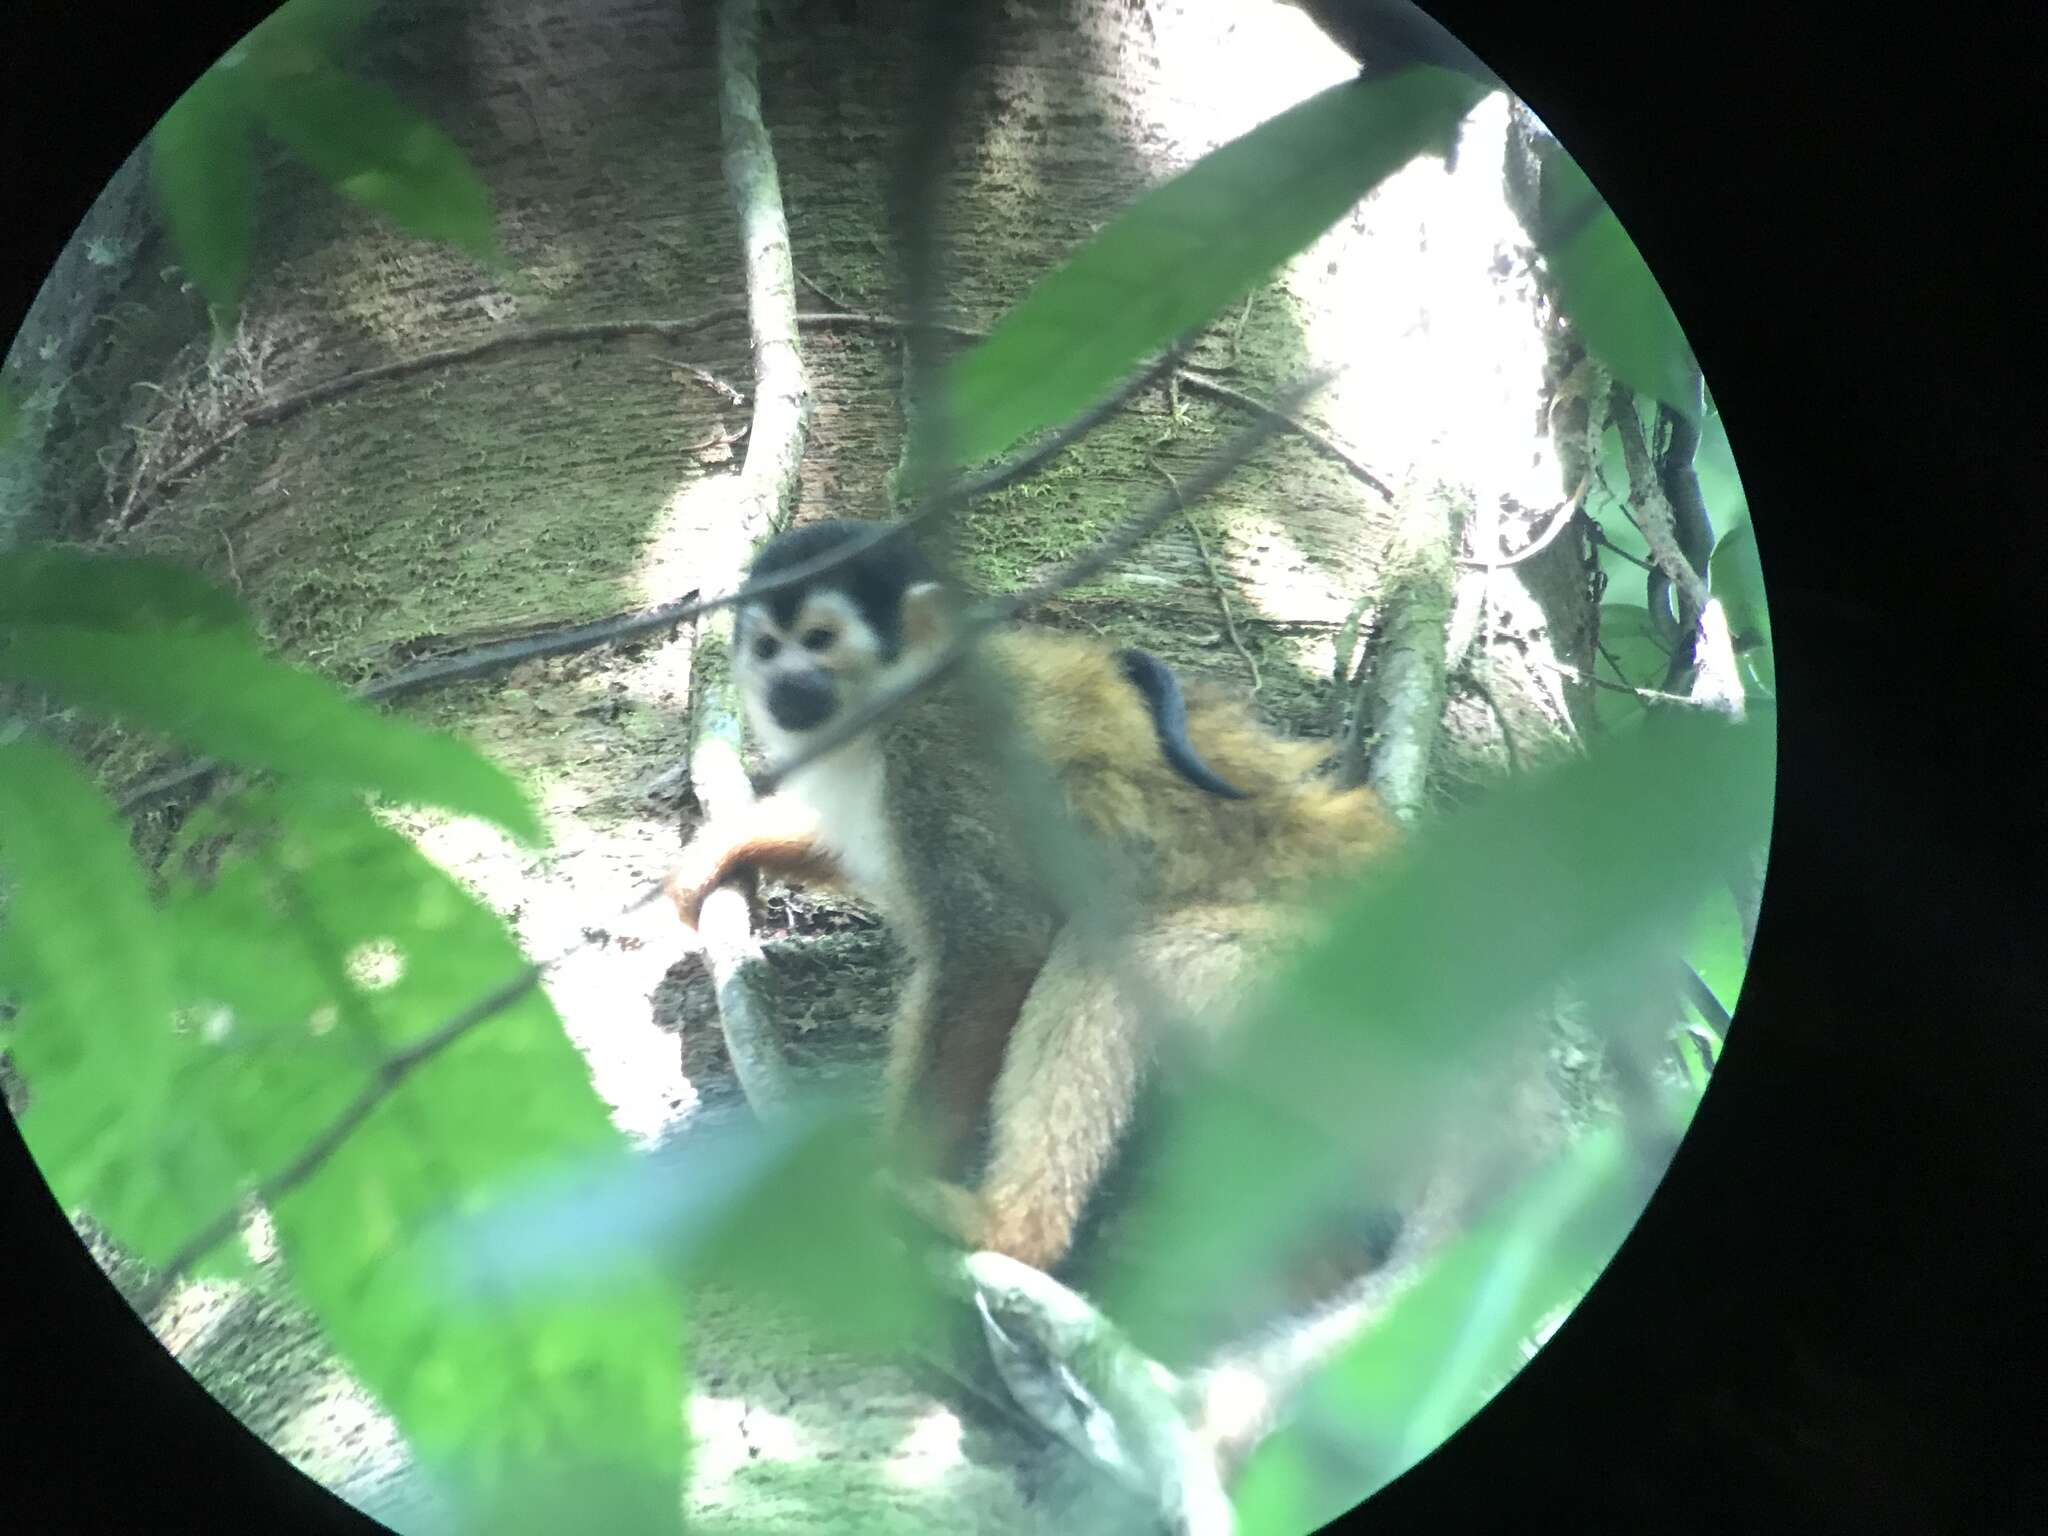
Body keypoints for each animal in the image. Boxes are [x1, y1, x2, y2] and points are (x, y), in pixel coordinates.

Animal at [663, 524, 1400, 1277]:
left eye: (818, 639)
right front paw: (726, 848)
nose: (786, 682)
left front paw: (889, 1176)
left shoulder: (936, 753)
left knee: (1115, 950)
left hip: (1317, 971)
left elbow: (997, 948)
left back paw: (1010, 1230)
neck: (892, 707)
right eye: (767, 647)